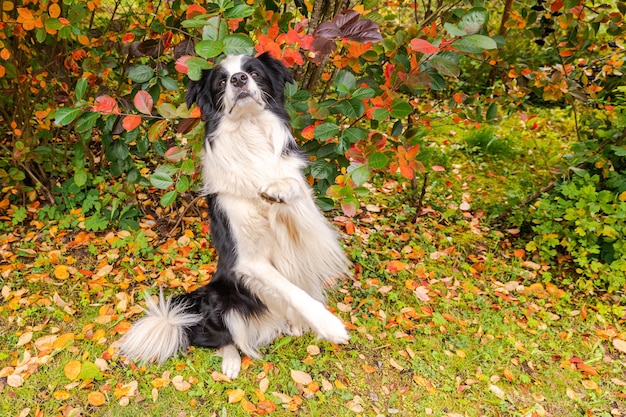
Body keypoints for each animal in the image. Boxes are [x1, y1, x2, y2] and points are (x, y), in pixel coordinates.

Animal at [117, 52, 352, 376]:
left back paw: (293, 324)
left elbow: (293, 187)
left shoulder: (307, 219)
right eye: (221, 82)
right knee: (221, 338)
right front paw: (329, 324)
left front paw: (276, 189)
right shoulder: (248, 260)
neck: (248, 132)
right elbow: (292, 290)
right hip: (219, 299)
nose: (239, 79)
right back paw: (230, 362)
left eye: (253, 72)